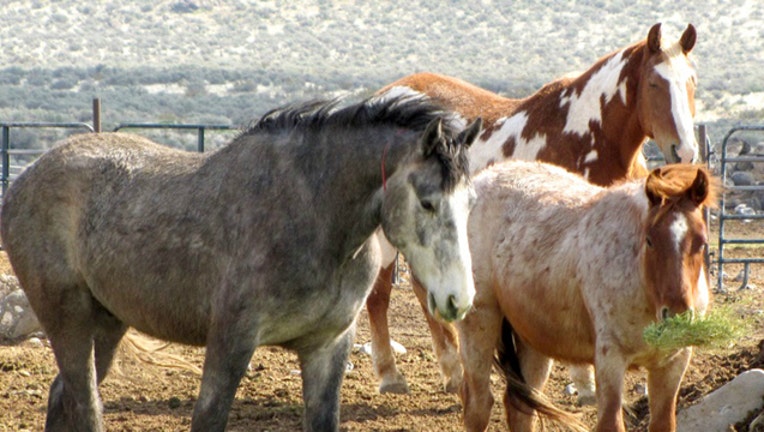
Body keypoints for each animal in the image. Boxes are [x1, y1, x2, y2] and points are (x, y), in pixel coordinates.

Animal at [0, 96, 482, 432]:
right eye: (427, 201)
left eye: (470, 201)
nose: (459, 299)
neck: (312, 214)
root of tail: (26, 178)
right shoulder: (231, 341)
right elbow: (208, 417)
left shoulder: (328, 347)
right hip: (68, 318)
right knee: (85, 404)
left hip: (108, 321)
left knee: (63, 396)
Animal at [367, 22, 699, 395]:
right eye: (654, 82)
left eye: (692, 81)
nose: (685, 151)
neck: (583, 134)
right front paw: (584, 382)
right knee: (378, 295)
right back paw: (391, 375)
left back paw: (452, 371)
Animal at [456, 160, 717, 432]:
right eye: (649, 240)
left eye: (701, 242)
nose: (676, 316)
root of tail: (486, 176)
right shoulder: (610, 360)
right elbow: (610, 422)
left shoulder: (671, 365)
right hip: (480, 322)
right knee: (478, 404)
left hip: (532, 339)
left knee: (520, 408)